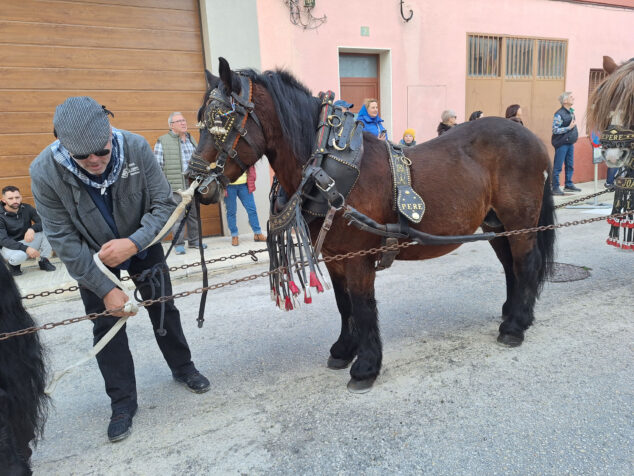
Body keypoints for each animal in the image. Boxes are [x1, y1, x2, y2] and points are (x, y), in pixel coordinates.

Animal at [189, 57, 552, 392]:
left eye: (222, 120)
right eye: (200, 120)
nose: (196, 185)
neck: (326, 168)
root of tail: (531, 138)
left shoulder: (358, 257)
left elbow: (363, 307)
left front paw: (365, 366)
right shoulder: (334, 256)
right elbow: (343, 303)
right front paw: (343, 349)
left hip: (520, 221)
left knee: (526, 263)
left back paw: (516, 325)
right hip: (496, 224)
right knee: (510, 265)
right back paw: (511, 315)